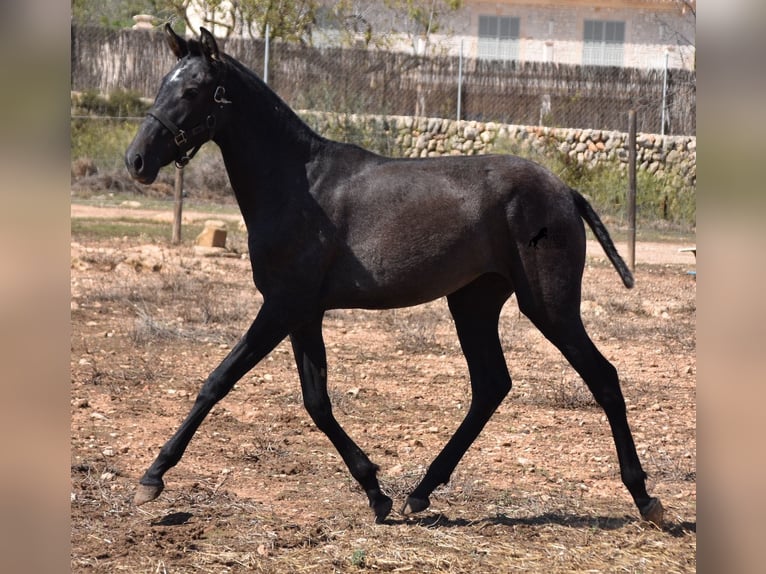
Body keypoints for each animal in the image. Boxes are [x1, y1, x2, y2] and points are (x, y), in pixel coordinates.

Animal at [126, 25, 664, 532]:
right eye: (163, 84)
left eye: (193, 89)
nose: (136, 160)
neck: (299, 185)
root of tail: (564, 191)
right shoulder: (303, 314)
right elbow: (316, 402)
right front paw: (376, 492)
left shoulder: (282, 306)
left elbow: (218, 381)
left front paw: (153, 477)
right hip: (473, 303)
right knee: (491, 385)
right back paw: (420, 492)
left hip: (549, 306)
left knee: (602, 377)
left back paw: (645, 498)